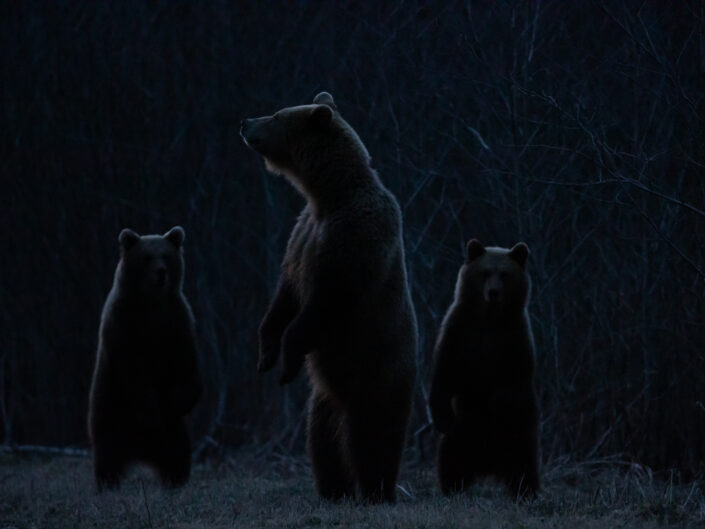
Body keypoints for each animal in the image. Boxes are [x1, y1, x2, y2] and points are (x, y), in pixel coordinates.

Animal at [88, 225, 202, 488]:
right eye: (147, 257)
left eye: (166, 256)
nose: (161, 273)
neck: (151, 304)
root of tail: (140, 453)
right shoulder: (123, 325)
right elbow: (134, 374)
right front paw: (151, 409)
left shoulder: (177, 321)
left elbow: (186, 363)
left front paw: (184, 399)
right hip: (109, 415)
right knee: (107, 458)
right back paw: (108, 483)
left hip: (175, 435)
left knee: (178, 455)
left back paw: (175, 482)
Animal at [242, 92, 418, 504]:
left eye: (277, 115)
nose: (245, 122)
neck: (327, 196)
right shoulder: (303, 233)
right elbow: (286, 294)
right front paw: (265, 354)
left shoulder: (354, 240)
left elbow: (326, 300)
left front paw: (287, 362)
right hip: (322, 401)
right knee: (323, 443)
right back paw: (334, 489)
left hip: (377, 372)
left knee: (374, 435)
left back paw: (378, 490)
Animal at [428, 239, 540, 500]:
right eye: (485, 272)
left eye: (505, 274)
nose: (494, 293)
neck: (489, 319)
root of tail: (489, 464)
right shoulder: (459, 333)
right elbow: (444, 374)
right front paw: (442, 419)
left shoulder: (514, 340)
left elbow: (513, 382)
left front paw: (499, 403)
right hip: (462, 435)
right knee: (449, 460)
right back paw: (451, 488)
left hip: (520, 437)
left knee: (524, 467)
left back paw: (527, 492)